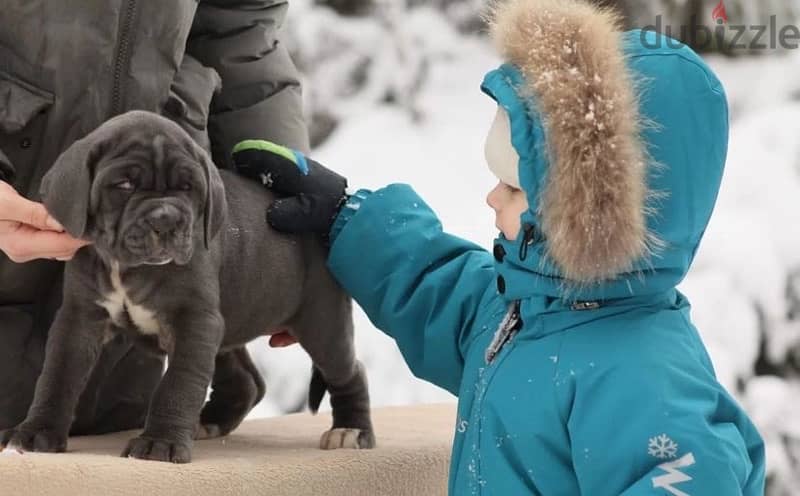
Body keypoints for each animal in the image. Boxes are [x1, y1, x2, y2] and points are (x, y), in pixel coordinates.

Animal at [0, 110, 376, 464]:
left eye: (187, 188)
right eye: (124, 184)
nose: (166, 219)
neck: (128, 268)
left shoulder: (195, 321)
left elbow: (179, 382)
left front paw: (161, 443)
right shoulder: (80, 318)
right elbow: (58, 376)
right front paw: (34, 433)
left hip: (321, 322)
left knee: (349, 371)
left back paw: (351, 430)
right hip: (231, 321)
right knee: (247, 380)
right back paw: (207, 421)